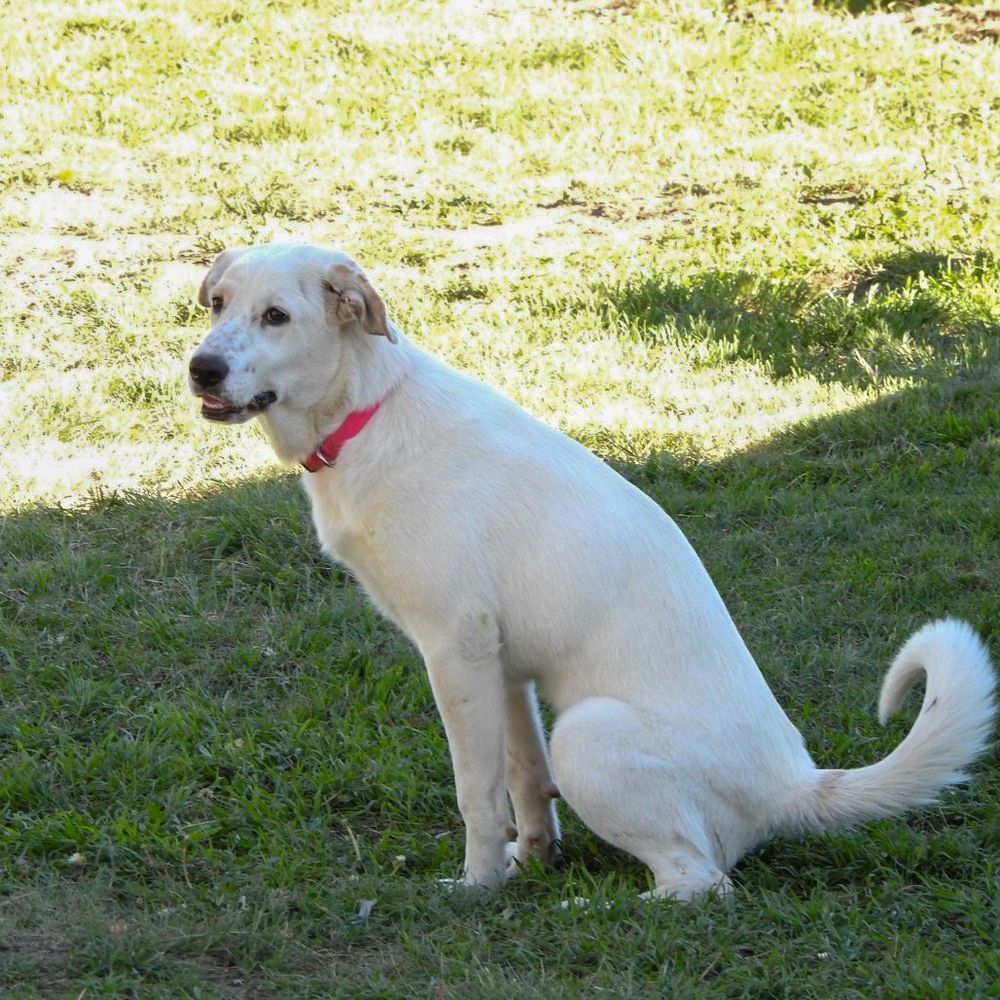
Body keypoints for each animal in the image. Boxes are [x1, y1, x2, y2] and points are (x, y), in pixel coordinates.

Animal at [186, 242, 992, 900]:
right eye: (219, 304)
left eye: (277, 316)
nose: (201, 368)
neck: (366, 411)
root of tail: (796, 786)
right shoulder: (504, 667)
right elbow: (523, 782)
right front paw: (531, 864)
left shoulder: (456, 651)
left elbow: (477, 794)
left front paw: (477, 889)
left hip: (589, 733)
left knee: (700, 882)